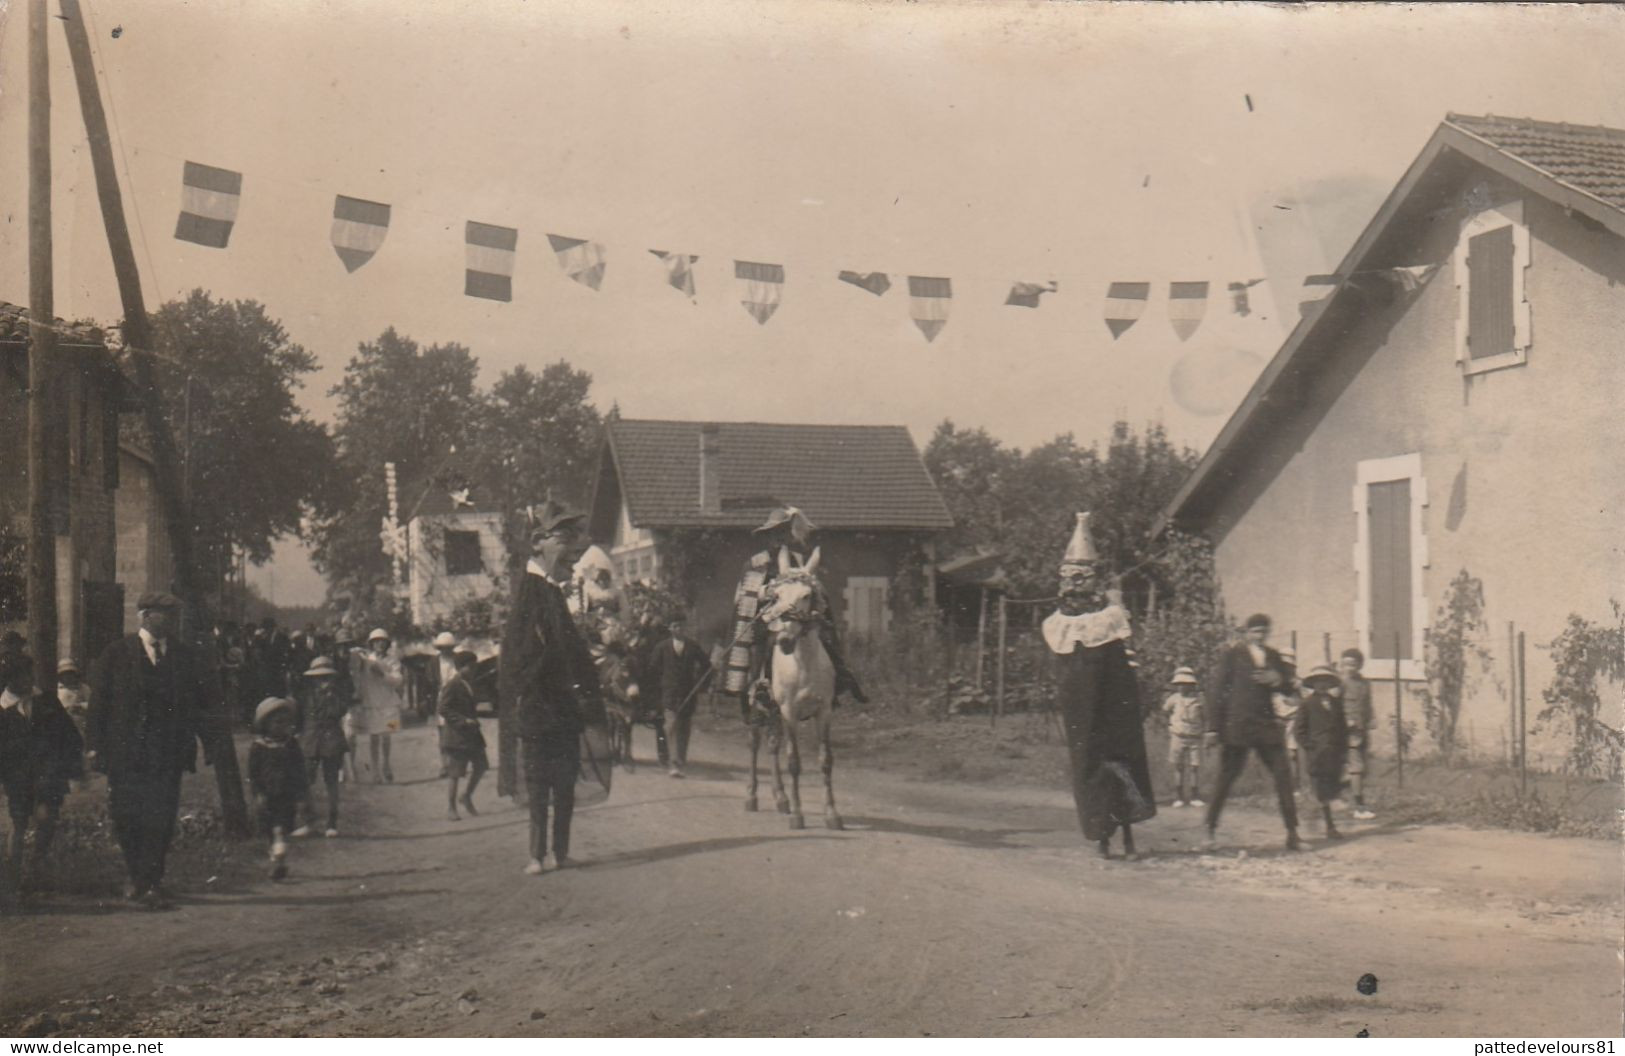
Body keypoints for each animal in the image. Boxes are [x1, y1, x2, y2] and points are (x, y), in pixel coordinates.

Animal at [747, 545, 845, 825]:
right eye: (776, 596)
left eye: (807, 595)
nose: (785, 641)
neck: (804, 666)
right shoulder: (789, 712)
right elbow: (793, 761)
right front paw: (799, 815)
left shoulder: (824, 711)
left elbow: (826, 760)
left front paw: (831, 813)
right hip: (758, 706)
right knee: (755, 744)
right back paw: (753, 796)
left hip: (774, 712)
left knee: (772, 745)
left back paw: (781, 798)